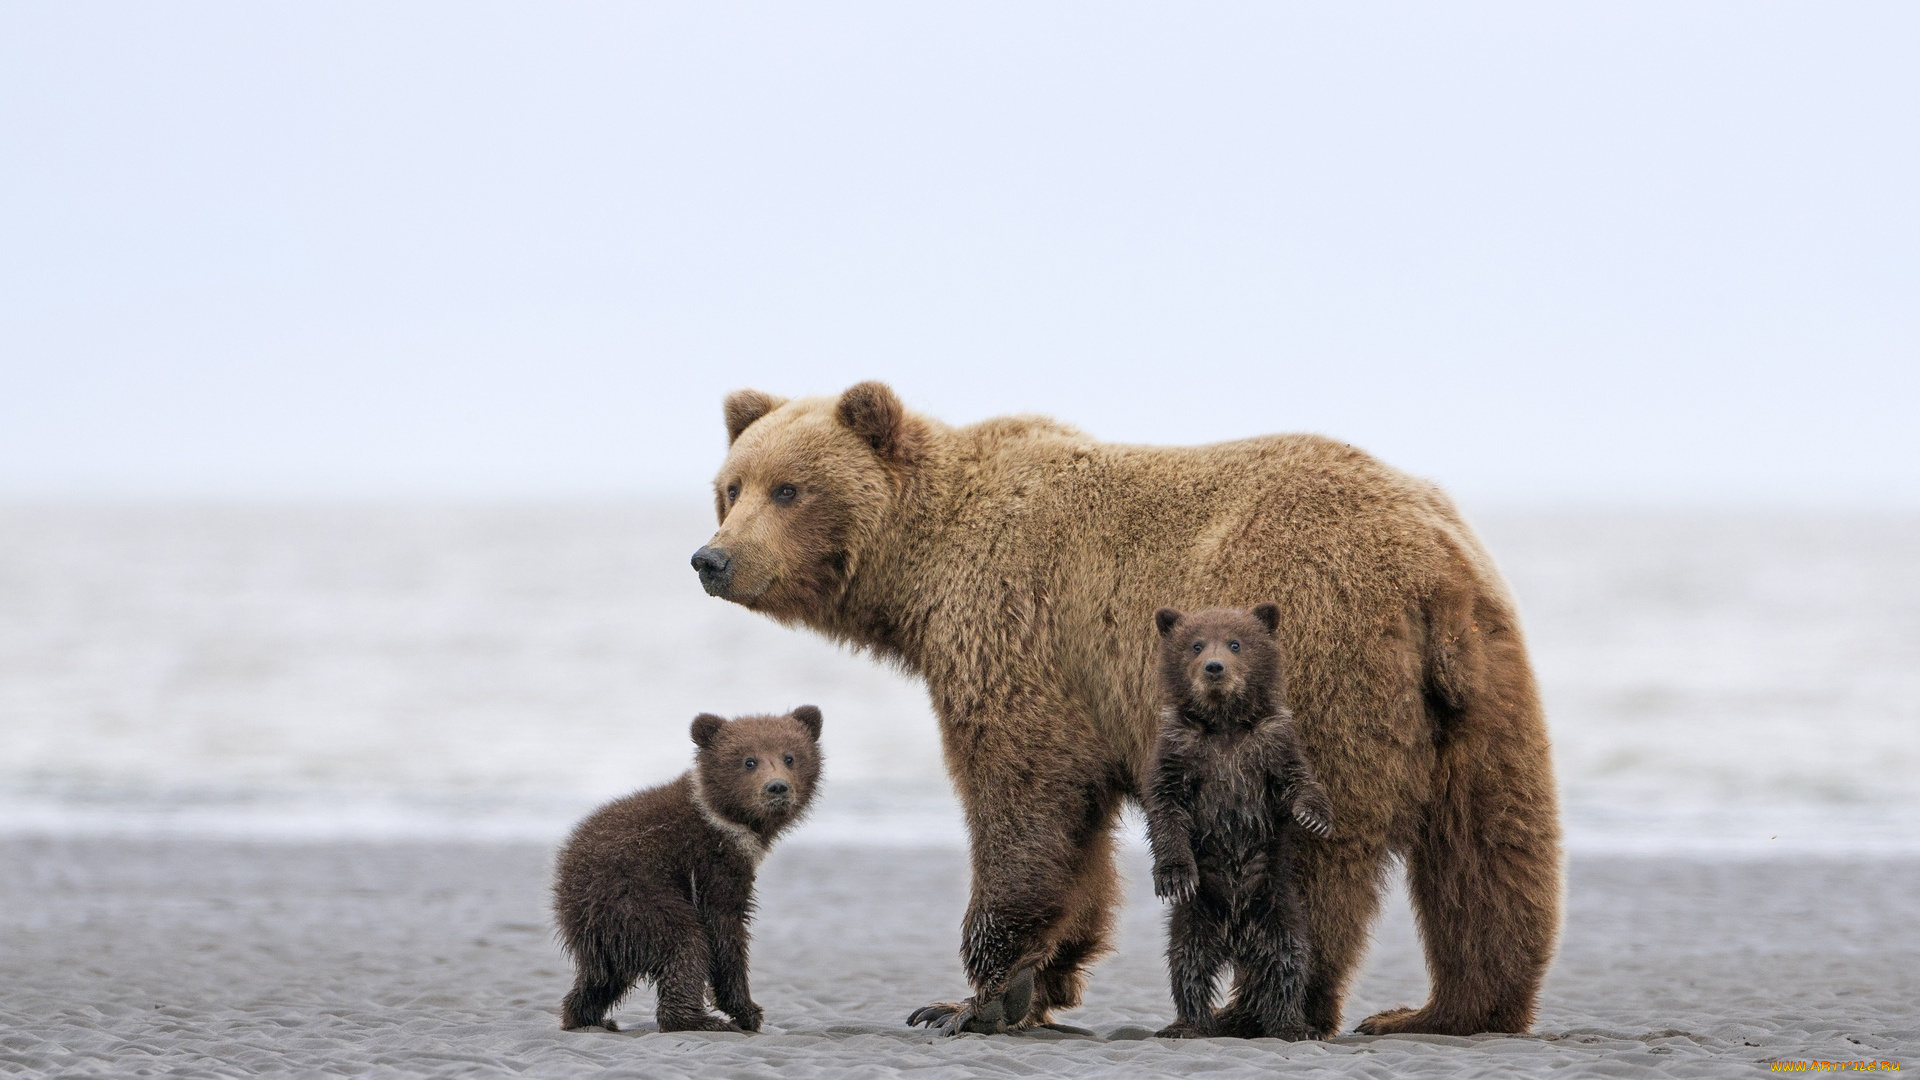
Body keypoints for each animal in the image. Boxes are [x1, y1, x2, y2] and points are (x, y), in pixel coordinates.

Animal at [691, 378, 1559, 1037]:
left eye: (790, 488)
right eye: (731, 486)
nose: (713, 558)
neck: (921, 569)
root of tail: (1430, 569)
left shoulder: (1017, 630)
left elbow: (1024, 798)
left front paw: (969, 997)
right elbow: (1077, 836)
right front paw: (1039, 982)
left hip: (1318, 658)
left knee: (1313, 854)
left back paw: (1254, 1011)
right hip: (1482, 687)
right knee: (1491, 845)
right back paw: (1449, 1010)